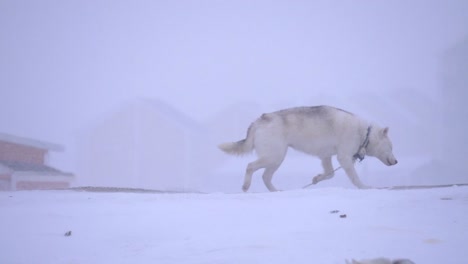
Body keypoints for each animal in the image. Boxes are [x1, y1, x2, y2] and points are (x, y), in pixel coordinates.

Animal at [218, 105, 396, 192]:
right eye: (391, 146)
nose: (396, 161)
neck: (365, 133)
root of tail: (259, 120)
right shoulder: (344, 158)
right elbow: (355, 179)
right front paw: (365, 187)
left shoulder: (326, 157)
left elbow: (329, 174)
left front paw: (316, 179)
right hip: (274, 157)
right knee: (250, 167)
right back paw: (246, 186)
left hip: (276, 160)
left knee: (265, 177)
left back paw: (276, 191)